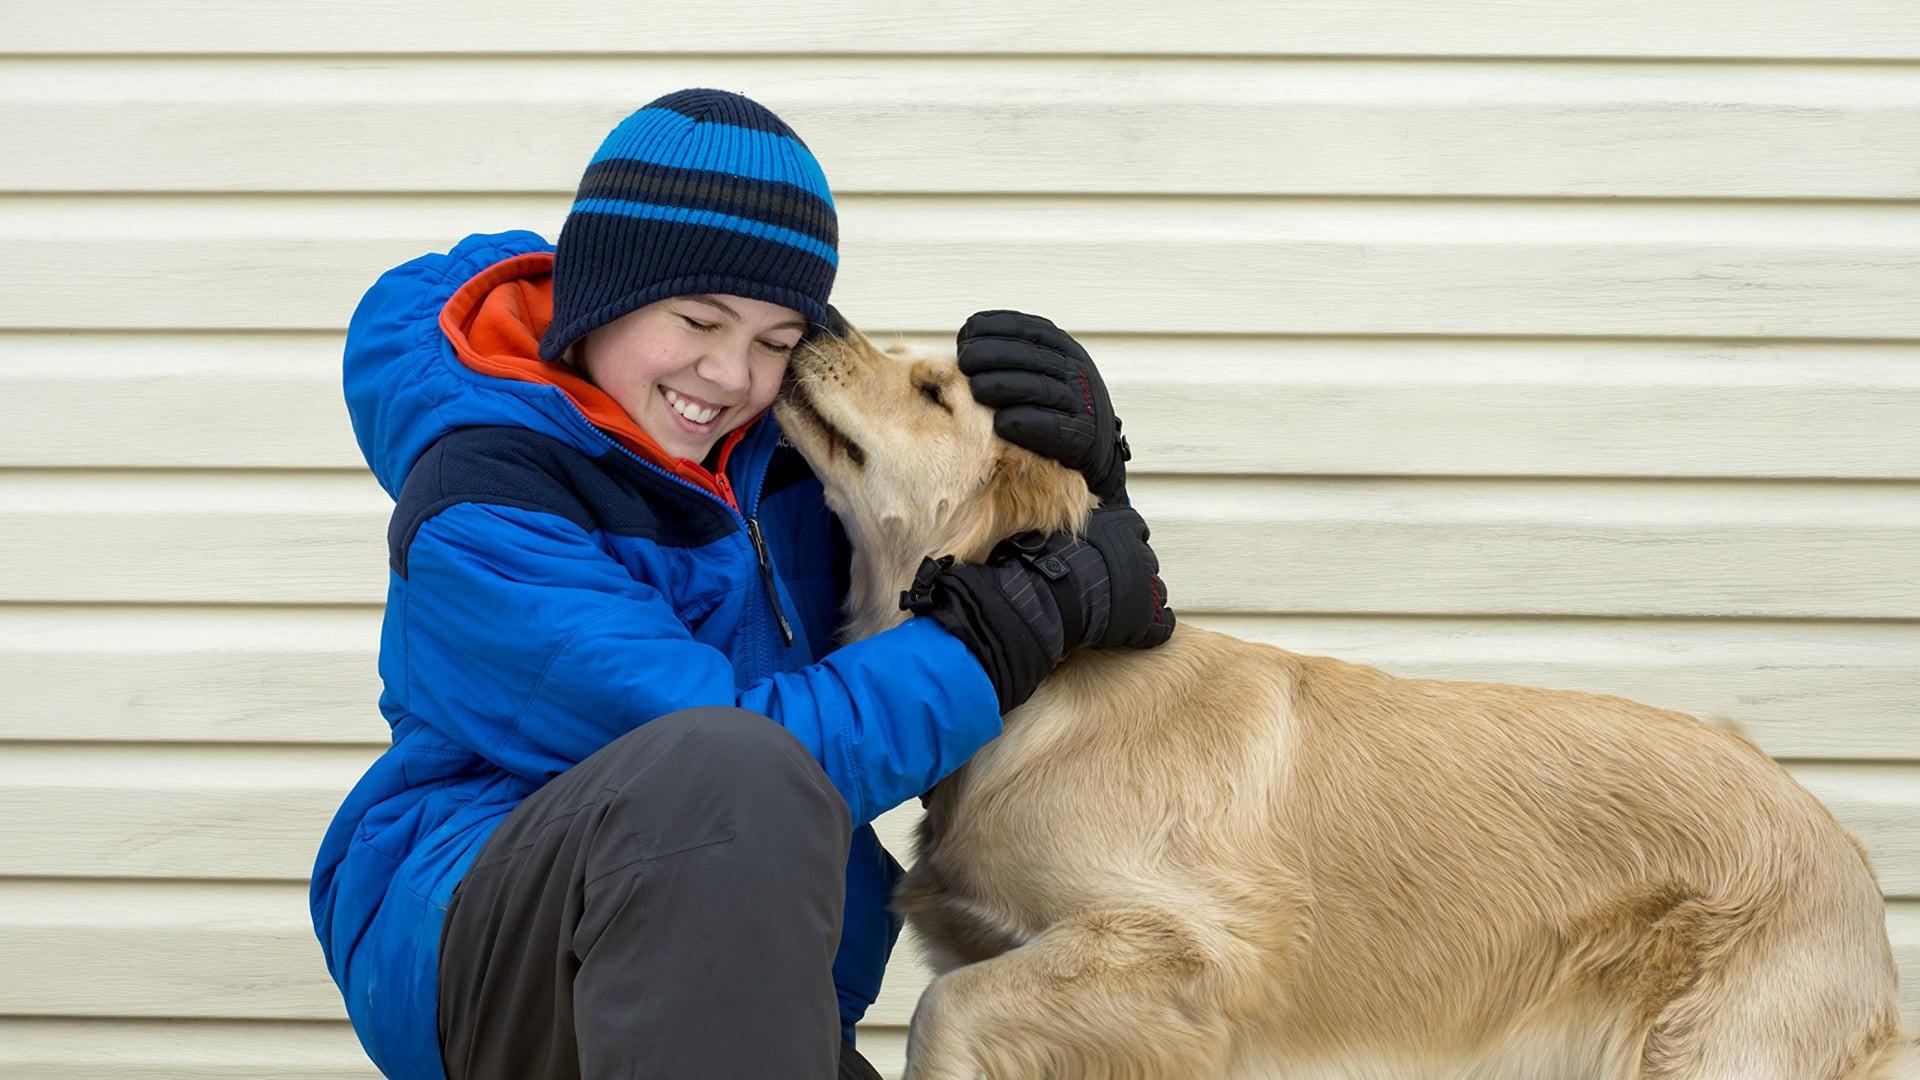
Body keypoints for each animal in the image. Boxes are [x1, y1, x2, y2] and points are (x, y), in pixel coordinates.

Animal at [771, 320, 1912, 1076]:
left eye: (931, 392)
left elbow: (943, 1010)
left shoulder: (1194, 953)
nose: (816, 321)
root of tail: (1844, 847)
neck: (1045, 683)